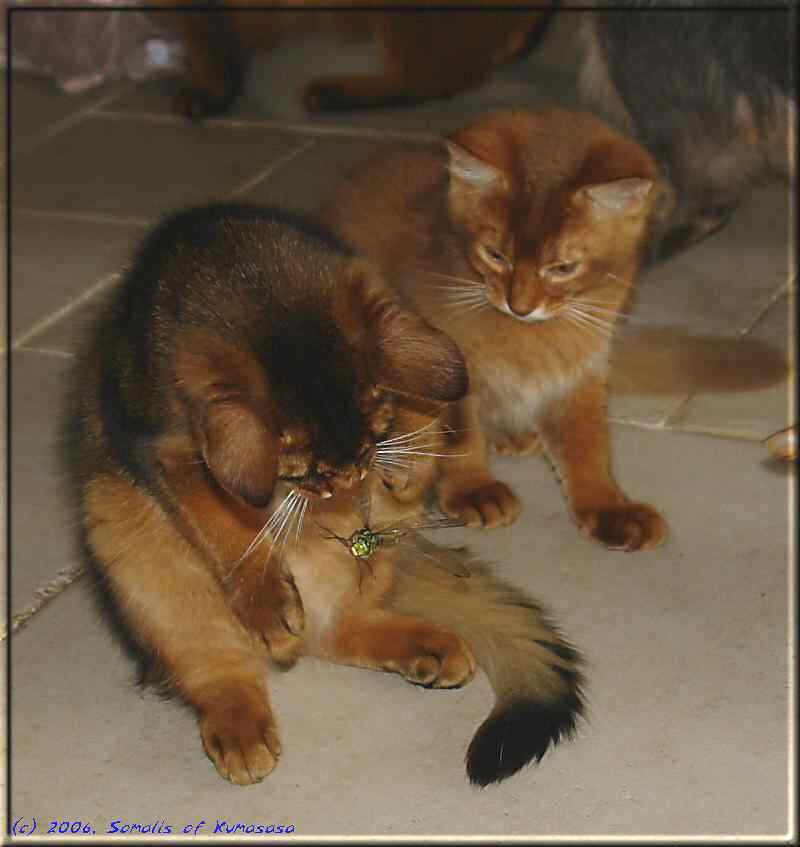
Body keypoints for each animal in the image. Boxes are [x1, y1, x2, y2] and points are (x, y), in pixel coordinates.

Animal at [62, 205, 584, 788]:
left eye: (376, 429)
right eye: (304, 469)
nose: (353, 479)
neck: (249, 279)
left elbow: (427, 400)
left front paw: (412, 463)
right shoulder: (159, 448)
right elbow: (223, 524)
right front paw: (266, 600)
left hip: (377, 556)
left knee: (335, 631)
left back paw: (423, 644)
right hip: (130, 545)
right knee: (215, 665)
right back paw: (239, 723)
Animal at [324, 107, 668, 556]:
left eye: (562, 268)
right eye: (495, 255)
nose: (519, 305)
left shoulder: (580, 373)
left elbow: (588, 445)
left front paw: (609, 508)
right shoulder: (445, 365)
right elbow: (460, 436)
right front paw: (474, 490)